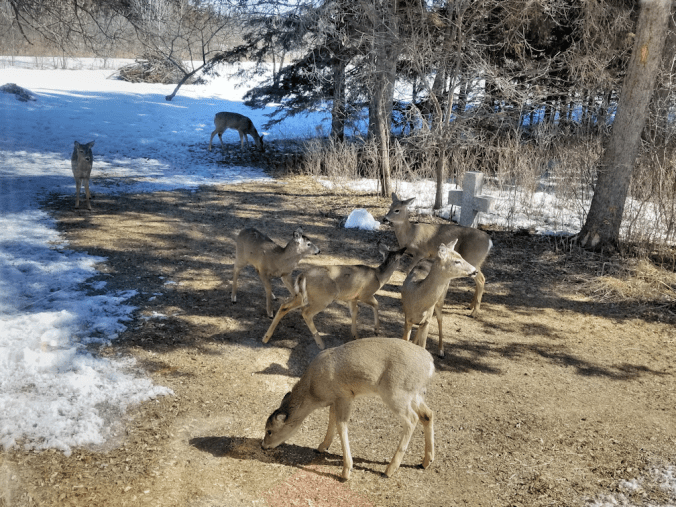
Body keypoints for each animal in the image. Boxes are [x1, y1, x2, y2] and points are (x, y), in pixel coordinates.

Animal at [262, 243, 407, 349]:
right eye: (400, 259)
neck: (379, 277)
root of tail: (302, 276)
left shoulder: (351, 298)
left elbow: (355, 312)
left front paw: (355, 335)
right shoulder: (365, 293)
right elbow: (376, 304)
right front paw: (376, 330)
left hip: (303, 295)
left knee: (284, 305)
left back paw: (266, 337)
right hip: (323, 297)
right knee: (306, 313)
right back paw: (321, 344)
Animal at [262, 337, 435, 481]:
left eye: (269, 430)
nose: (263, 446)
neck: (314, 392)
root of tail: (430, 365)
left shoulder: (344, 395)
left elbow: (341, 425)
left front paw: (346, 471)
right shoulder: (335, 399)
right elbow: (331, 418)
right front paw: (322, 446)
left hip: (395, 393)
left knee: (412, 419)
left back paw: (389, 470)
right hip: (416, 394)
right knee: (427, 414)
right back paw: (426, 462)